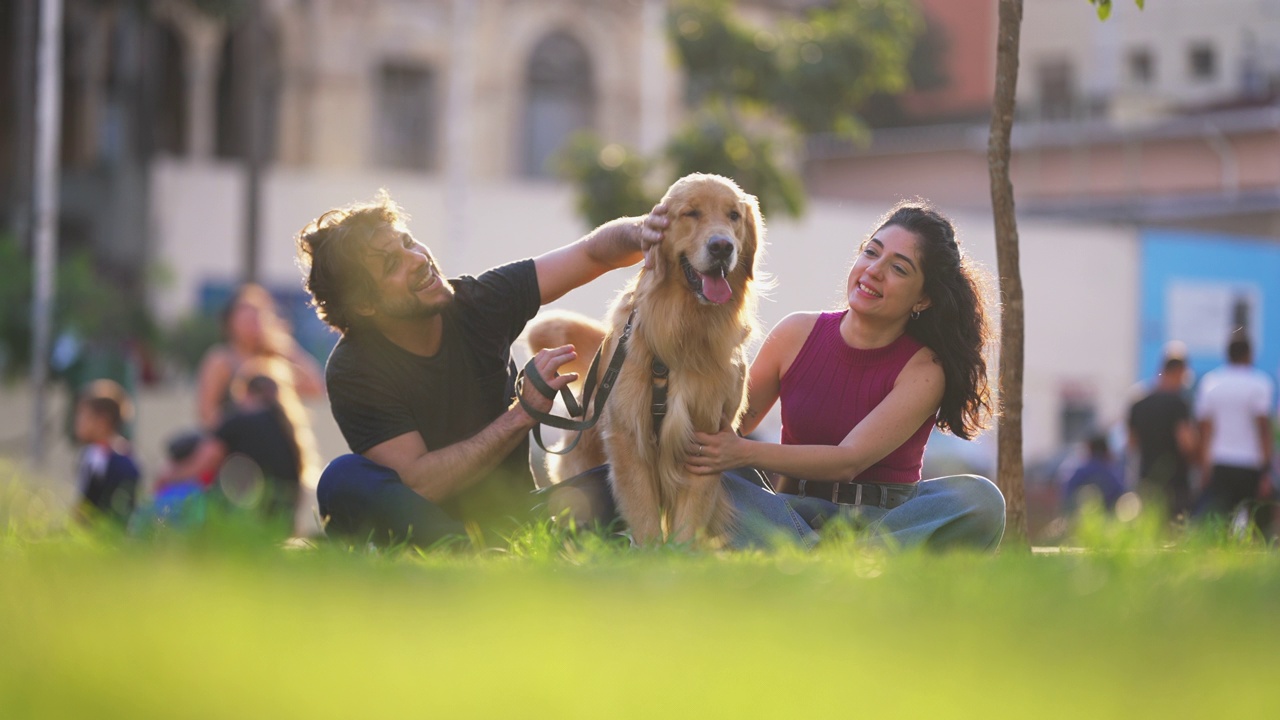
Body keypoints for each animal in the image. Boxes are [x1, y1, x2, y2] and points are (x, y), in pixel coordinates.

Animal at [529, 175, 757, 543]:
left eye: (733, 216)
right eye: (691, 213)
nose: (722, 247)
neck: (684, 331)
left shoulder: (710, 437)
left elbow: (690, 516)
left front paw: (680, 552)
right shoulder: (629, 434)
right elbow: (643, 511)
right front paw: (651, 552)